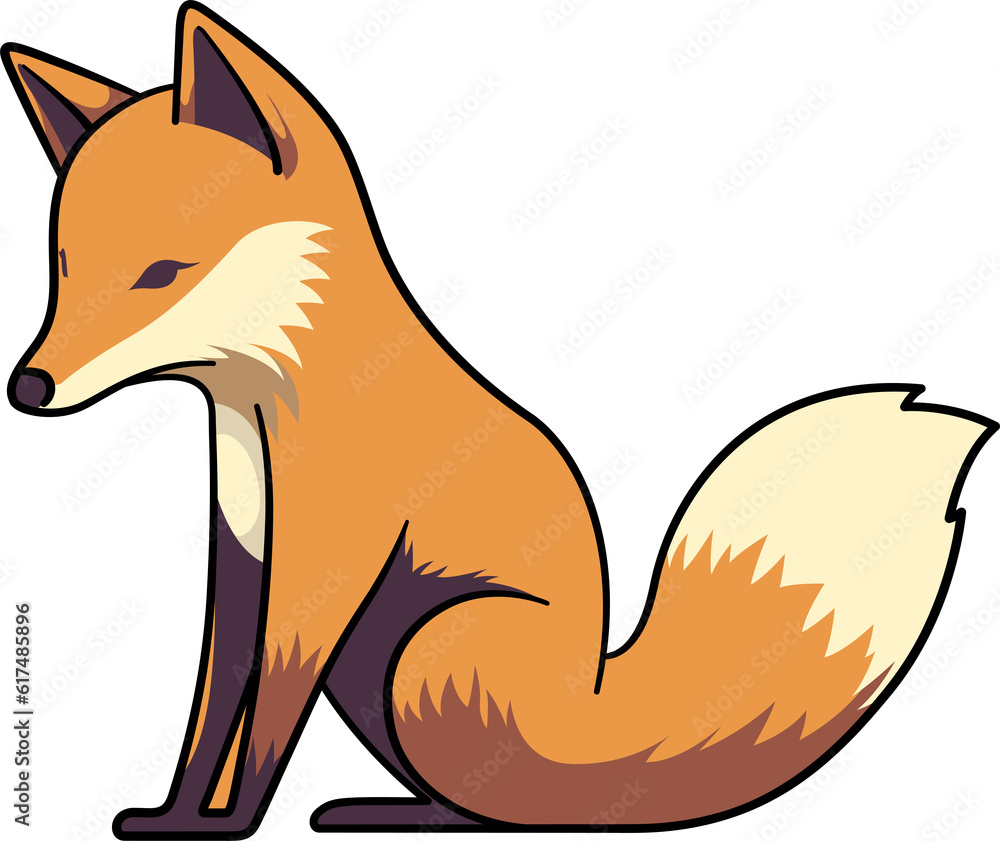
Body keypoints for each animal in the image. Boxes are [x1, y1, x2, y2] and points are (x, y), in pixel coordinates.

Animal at [3, 3, 996, 837]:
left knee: (508, 807)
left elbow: (263, 726)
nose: (28, 388)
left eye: (162, 272)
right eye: (62, 265)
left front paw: (230, 823)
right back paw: (387, 808)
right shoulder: (244, 558)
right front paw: (174, 817)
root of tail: (594, 715)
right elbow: (211, 709)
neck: (264, 402)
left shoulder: (322, 573)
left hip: (425, 650)